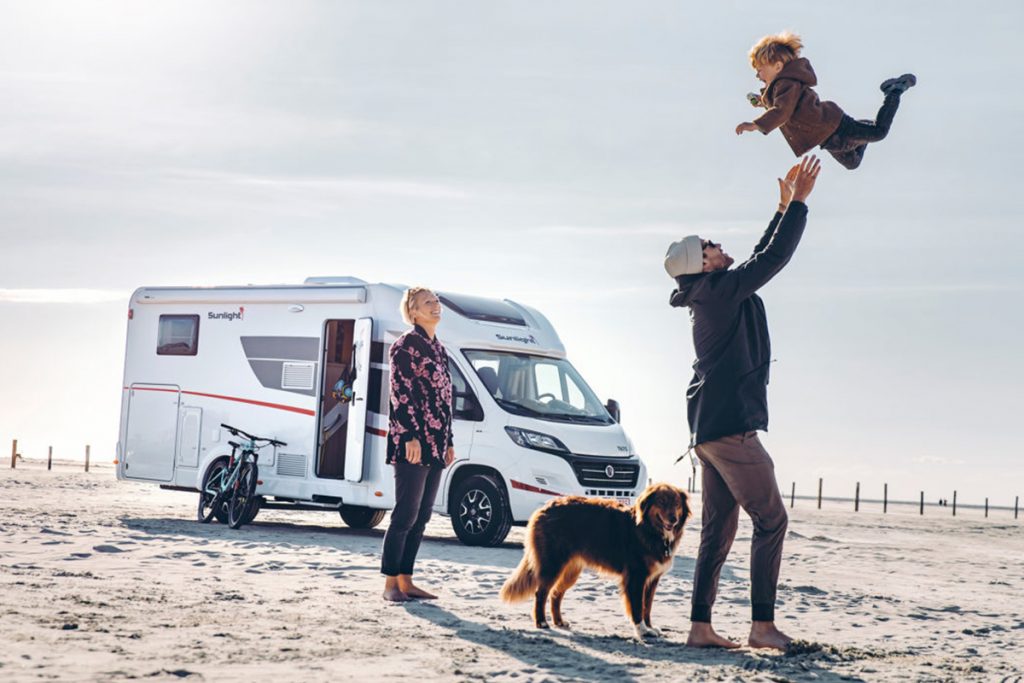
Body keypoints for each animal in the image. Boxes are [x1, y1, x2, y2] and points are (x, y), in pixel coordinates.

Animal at [499, 483, 692, 638]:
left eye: (677, 504)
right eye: (662, 502)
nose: (673, 519)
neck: (648, 529)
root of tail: (545, 508)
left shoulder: (652, 579)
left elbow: (647, 606)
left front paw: (650, 627)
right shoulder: (636, 577)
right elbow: (637, 607)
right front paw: (642, 630)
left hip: (570, 571)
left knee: (555, 594)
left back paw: (559, 621)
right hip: (552, 564)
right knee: (541, 593)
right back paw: (542, 622)